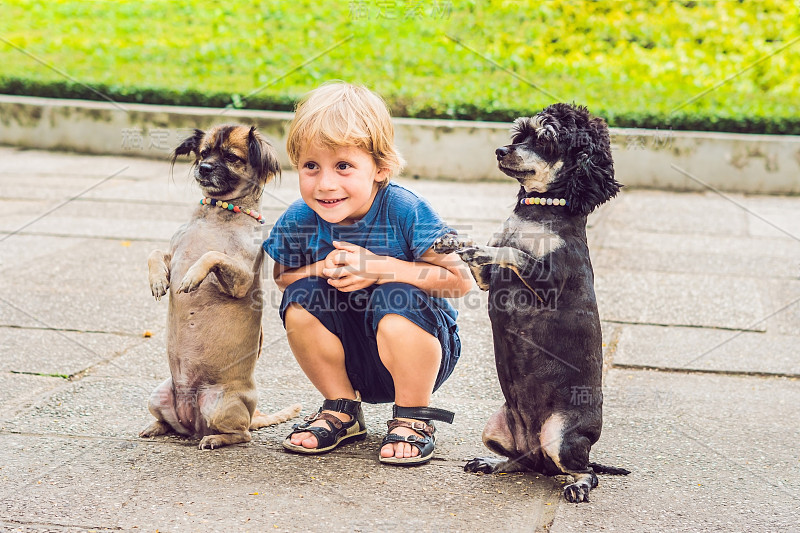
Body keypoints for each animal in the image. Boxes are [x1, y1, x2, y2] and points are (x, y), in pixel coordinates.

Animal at [139, 125, 302, 448]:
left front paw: (192, 277)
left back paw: (215, 439)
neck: (216, 215)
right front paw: (158, 280)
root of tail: (193, 422)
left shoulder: (241, 279)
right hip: (157, 396)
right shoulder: (173, 254)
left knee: (242, 434)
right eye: (203, 153)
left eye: (231, 157)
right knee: (171, 425)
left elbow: (211, 255)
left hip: (221, 404)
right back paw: (156, 427)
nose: (204, 168)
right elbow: (155, 253)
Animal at [434, 102, 628, 500]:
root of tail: (540, 453)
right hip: (496, 429)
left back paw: (579, 485)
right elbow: (483, 251)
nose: (500, 151)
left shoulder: (548, 281)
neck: (537, 212)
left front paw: (485, 247)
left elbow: (512, 252)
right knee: (521, 462)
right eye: (519, 134)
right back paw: (493, 463)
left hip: (560, 436)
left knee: (586, 471)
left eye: (545, 139)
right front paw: (456, 242)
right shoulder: (486, 280)